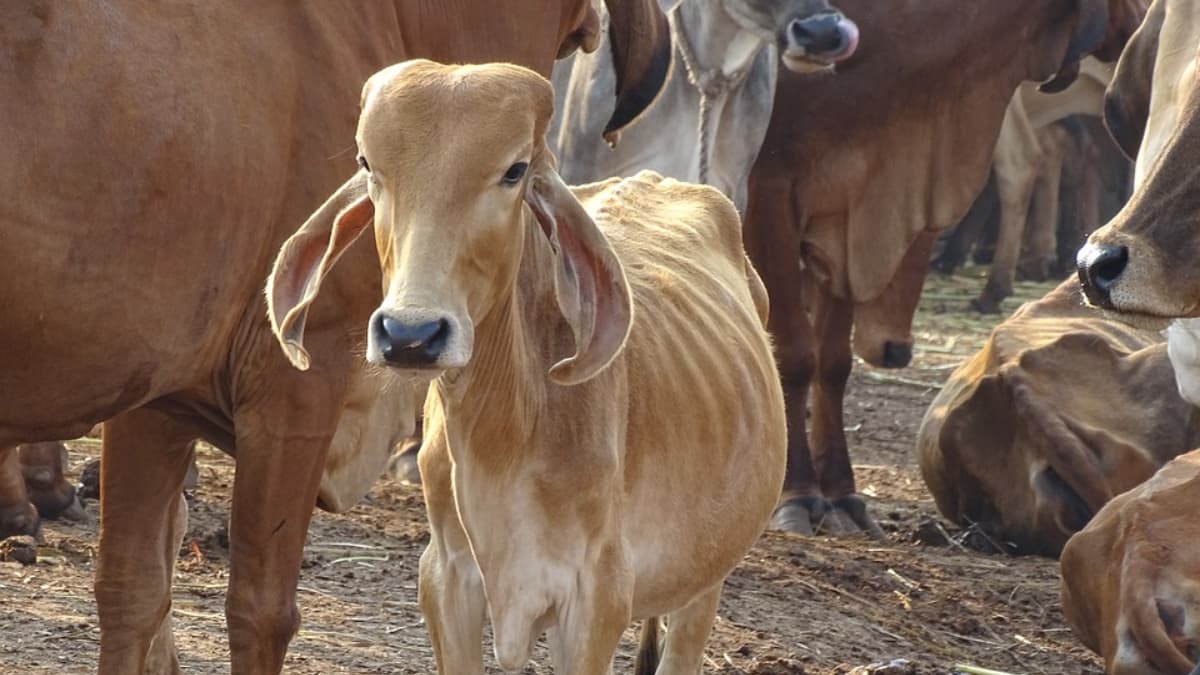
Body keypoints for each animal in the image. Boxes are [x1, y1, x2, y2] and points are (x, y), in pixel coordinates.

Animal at [0, 2, 672, 667]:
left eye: (515, 170)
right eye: (367, 166)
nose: (411, 335)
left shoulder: (159, 396)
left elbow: (132, 592)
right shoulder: (296, 388)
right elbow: (261, 610)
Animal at [265, 59, 787, 672]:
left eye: (514, 171)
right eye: (368, 165)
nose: (410, 335)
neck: (507, 430)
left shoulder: (595, 602)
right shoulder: (447, 582)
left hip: (707, 579)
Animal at [744, 0, 1147, 535]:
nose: (897, 352)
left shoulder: (849, 220)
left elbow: (832, 363)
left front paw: (842, 494)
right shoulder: (769, 194)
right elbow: (793, 355)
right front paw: (799, 493)